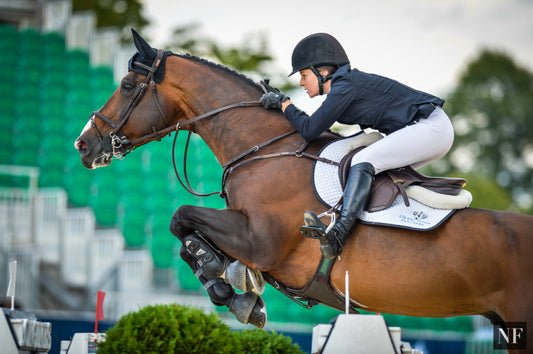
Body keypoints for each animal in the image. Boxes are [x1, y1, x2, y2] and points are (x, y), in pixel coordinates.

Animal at [76, 31, 532, 354]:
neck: (264, 150)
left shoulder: (259, 240)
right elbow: (187, 228)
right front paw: (238, 283)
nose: (84, 145)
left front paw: (227, 286)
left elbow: (181, 218)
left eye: (126, 83)